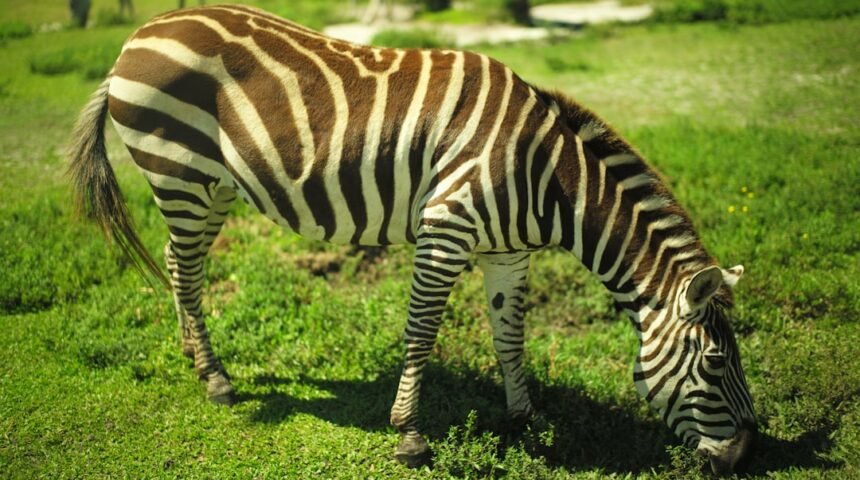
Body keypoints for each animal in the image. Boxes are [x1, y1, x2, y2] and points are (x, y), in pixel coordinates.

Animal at [67, 5, 757, 475]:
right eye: (715, 364)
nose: (743, 458)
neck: (546, 177)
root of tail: (142, 31)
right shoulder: (445, 230)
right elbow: (422, 332)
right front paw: (409, 435)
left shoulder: (508, 252)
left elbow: (510, 336)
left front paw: (525, 418)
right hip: (178, 172)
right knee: (184, 269)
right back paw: (215, 379)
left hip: (211, 187)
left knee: (178, 263)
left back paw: (193, 356)